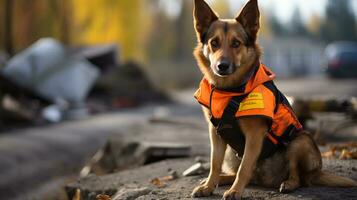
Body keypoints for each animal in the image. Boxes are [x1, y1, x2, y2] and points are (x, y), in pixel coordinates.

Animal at [189, 0, 356, 199]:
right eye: (214, 43)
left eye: (236, 43)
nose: (222, 66)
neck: (229, 90)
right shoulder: (216, 133)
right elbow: (215, 164)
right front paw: (209, 185)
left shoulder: (254, 134)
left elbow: (244, 168)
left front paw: (235, 191)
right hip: (231, 153)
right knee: (238, 172)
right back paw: (219, 180)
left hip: (300, 141)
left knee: (298, 177)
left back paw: (289, 183)